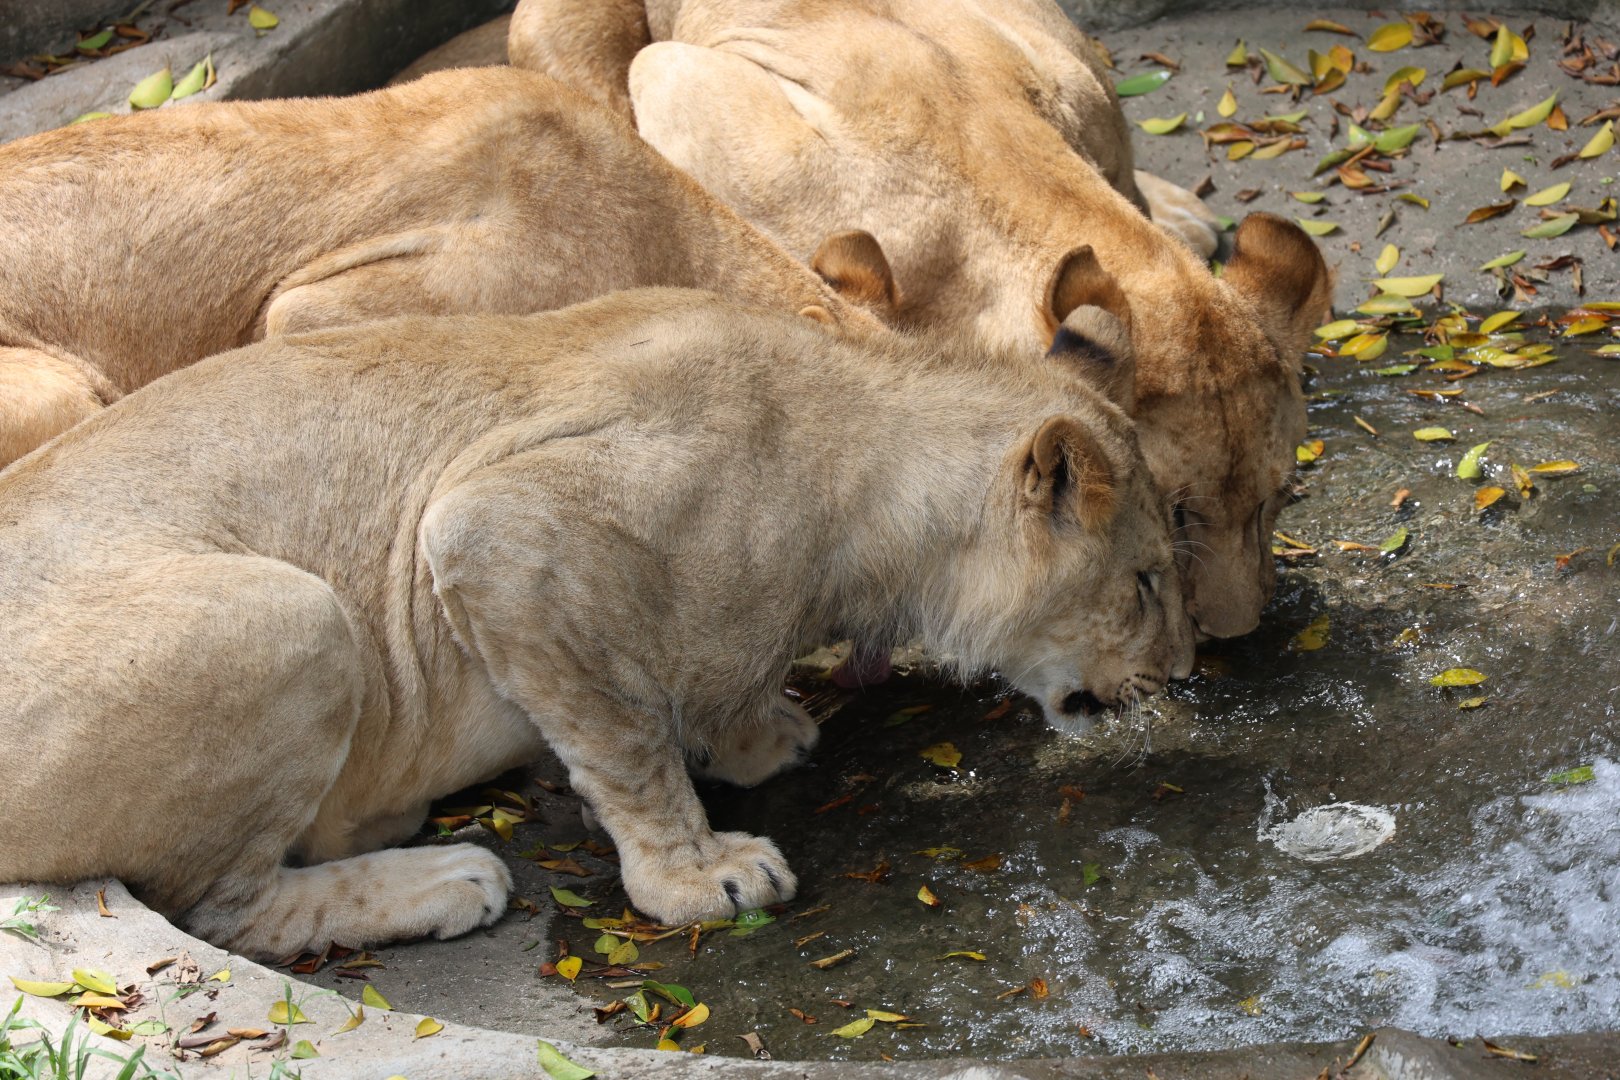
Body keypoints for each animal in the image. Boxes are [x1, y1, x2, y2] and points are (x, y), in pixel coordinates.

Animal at [0, 289, 1191, 956]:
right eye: (1142, 582)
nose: (1183, 673)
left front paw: (755, 733)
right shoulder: (495, 529)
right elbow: (622, 741)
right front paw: (697, 874)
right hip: (291, 615)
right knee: (220, 907)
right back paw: (440, 878)